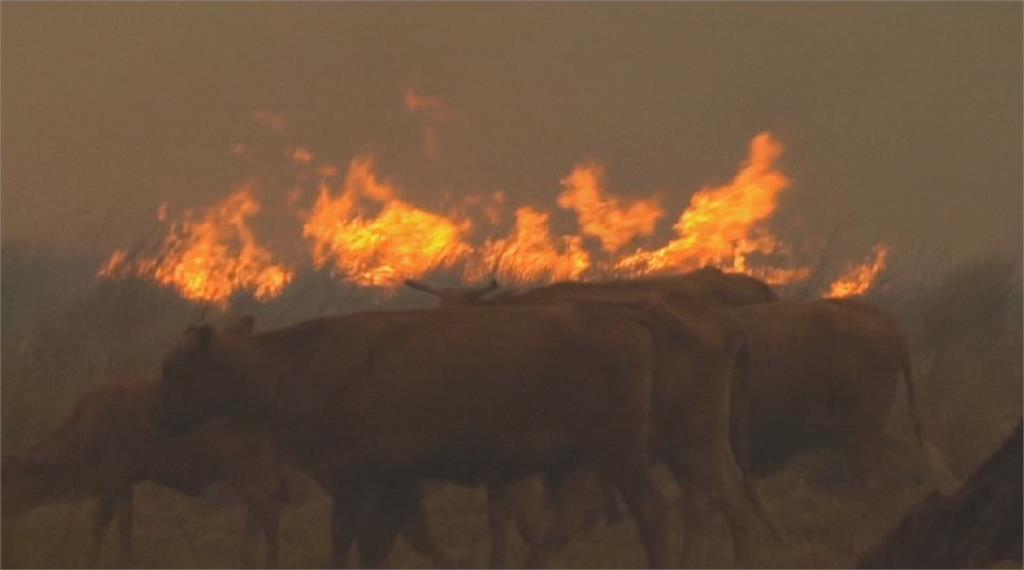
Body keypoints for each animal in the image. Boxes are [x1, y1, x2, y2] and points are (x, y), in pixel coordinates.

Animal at [1, 380, 284, 564]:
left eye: (10, 480)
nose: (4, 511)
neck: (85, 431)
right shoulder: (110, 485)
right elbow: (99, 526)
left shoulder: (119, 480)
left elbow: (122, 527)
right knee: (258, 510)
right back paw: (246, 557)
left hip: (242, 470)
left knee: (268, 510)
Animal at [151, 300, 757, 564]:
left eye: (174, 367)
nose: (157, 418)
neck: (308, 362)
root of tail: (632, 320)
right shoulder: (387, 482)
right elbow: (377, 539)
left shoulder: (367, 477)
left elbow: (360, 539)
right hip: (583, 461)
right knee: (557, 530)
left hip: (623, 451)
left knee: (655, 511)